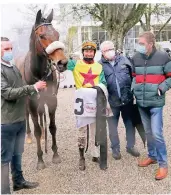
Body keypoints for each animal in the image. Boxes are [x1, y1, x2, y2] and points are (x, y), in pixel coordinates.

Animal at [15, 9, 67, 170]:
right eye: (42, 35)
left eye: (57, 34)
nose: (62, 63)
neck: (38, 73)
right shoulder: (31, 102)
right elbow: (37, 129)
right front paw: (40, 159)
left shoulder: (51, 100)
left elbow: (52, 126)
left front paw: (55, 154)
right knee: (27, 117)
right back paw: (28, 136)